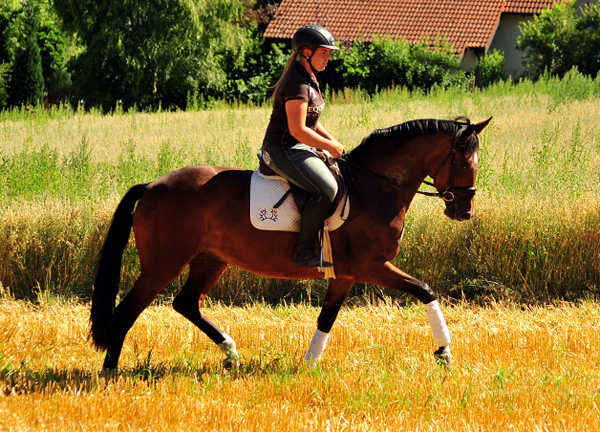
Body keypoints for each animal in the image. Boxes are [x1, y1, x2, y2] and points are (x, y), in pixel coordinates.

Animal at [90, 116, 492, 370]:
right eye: (463, 162)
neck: (374, 187)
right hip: (163, 264)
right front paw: (444, 351)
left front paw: (310, 364)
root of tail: (152, 186)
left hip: (210, 259)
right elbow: (424, 290)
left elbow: (327, 317)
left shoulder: (345, 275)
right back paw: (109, 373)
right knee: (128, 310)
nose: (465, 210)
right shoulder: (371, 266)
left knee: (186, 303)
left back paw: (231, 353)